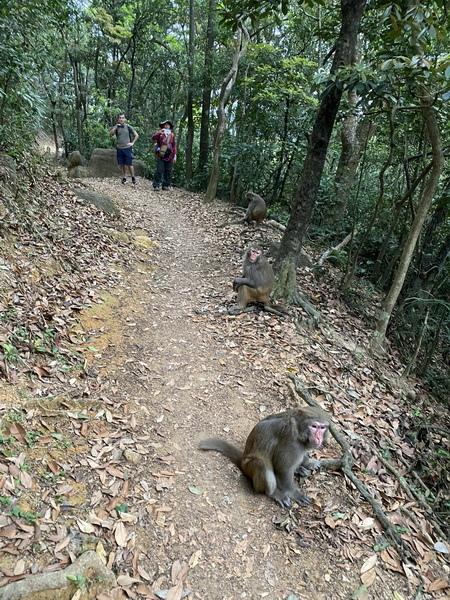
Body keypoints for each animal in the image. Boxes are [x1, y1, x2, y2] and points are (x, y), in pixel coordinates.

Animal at [200, 406, 330, 508]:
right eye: (314, 426)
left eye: (322, 428)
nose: (319, 438)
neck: (298, 428)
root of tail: (242, 460)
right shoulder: (291, 441)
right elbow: (282, 468)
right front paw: (294, 493)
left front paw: (308, 462)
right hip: (249, 467)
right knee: (261, 464)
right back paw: (274, 493)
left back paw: (298, 468)